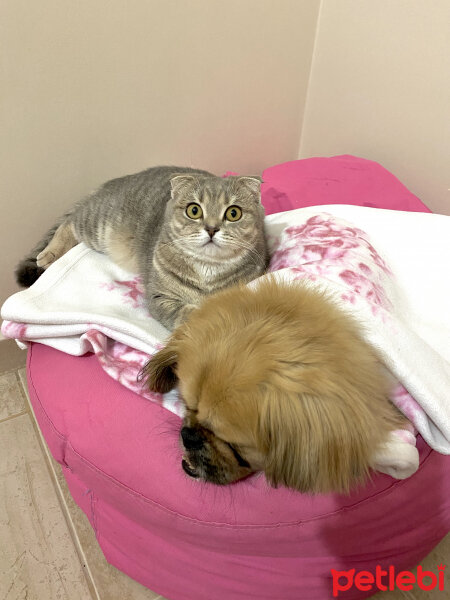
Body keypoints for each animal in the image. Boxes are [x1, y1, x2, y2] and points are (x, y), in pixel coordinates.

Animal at [16, 166, 270, 328]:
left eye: (233, 213)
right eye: (194, 210)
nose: (211, 228)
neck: (207, 270)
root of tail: (110, 184)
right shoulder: (161, 297)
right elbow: (187, 313)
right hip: (96, 224)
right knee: (68, 223)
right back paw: (48, 254)